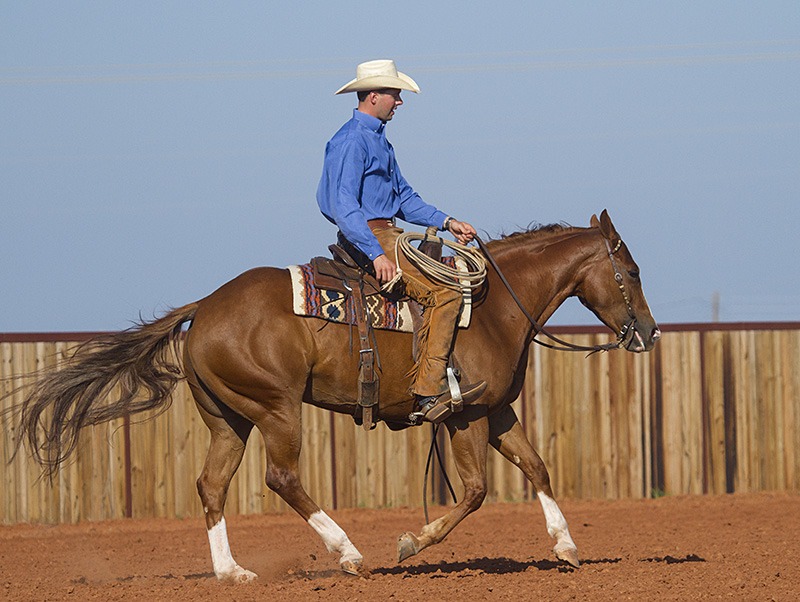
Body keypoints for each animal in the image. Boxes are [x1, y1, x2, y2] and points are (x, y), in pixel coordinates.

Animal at [10, 209, 659, 582]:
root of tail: (206, 306)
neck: (494, 307)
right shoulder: (465, 415)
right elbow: (475, 491)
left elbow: (538, 467)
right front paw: (411, 542)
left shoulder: (497, 411)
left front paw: (567, 546)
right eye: (630, 273)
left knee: (212, 485)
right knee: (282, 478)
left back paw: (233, 573)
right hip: (275, 408)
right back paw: (347, 553)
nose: (649, 332)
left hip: (228, 418)